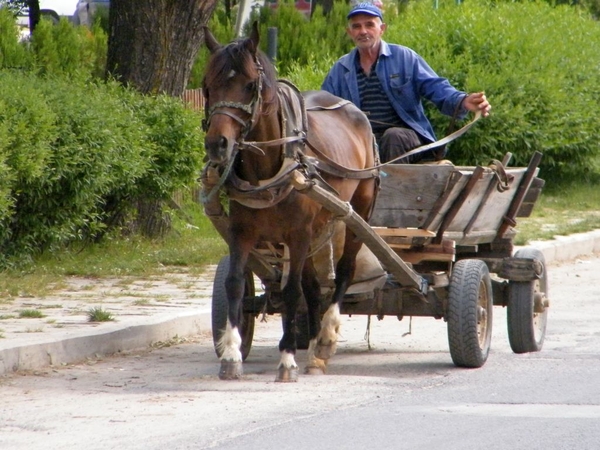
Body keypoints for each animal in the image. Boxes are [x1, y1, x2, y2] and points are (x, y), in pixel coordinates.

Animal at [203, 22, 380, 382]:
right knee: (313, 288)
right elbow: (235, 284)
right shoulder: (242, 233)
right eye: (207, 86)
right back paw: (312, 347)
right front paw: (231, 354)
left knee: (343, 271)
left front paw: (286, 358)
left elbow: (291, 292)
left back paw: (325, 337)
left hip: (357, 211)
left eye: (250, 85)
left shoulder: (296, 234)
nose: (217, 144)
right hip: (316, 229)